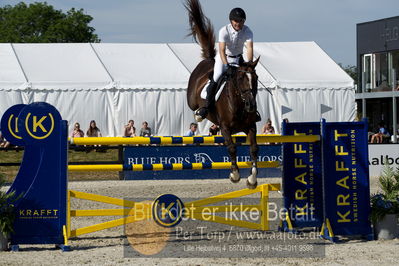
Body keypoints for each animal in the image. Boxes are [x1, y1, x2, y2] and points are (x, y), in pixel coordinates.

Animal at [184, 0, 260, 188]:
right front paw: (235, 175)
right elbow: (231, 148)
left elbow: (254, 149)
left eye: (255, 78)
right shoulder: (225, 128)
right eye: (240, 78)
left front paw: (252, 179)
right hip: (192, 99)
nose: (251, 105)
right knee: (195, 106)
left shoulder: (251, 126)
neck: (239, 103)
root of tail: (209, 60)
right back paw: (199, 114)